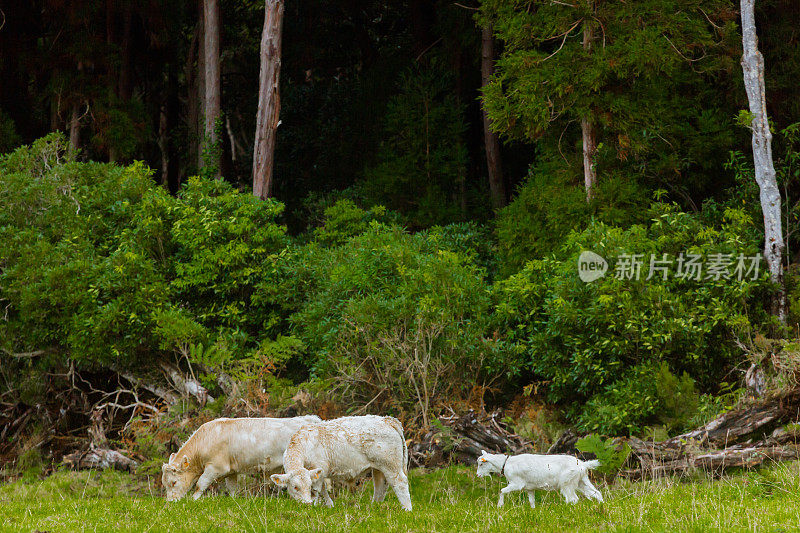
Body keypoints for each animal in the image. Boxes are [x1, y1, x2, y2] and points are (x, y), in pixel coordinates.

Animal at [161, 416, 320, 498]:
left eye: (173, 482)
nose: (171, 503)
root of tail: (311, 419)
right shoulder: (231, 471)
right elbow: (232, 489)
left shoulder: (215, 468)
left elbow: (200, 485)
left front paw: (193, 500)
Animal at [274, 414, 416, 510]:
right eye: (295, 487)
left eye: (308, 486)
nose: (306, 504)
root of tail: (387, 420)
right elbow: (323, 489)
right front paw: (327, 505)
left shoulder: (320, 469)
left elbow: (319, 489)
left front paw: (319, 504)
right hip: (379, 468)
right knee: (381, 486)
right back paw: (374, 507)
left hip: (391, 465)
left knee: (400, 483)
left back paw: (407, 509)